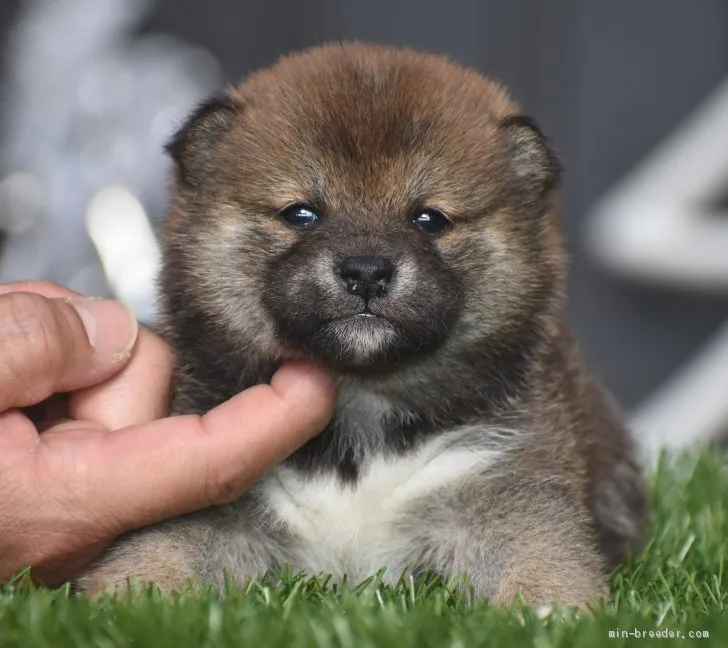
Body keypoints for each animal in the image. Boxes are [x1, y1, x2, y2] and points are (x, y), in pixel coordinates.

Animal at [78, 43, 648, 604]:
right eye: (300, 213)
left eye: (429, 219)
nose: (367, 271)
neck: (362, 405)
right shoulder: (211, 510)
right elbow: (154, 555)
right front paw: (123, 603)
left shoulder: (501, 477)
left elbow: (543, 561)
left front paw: (550, 612)